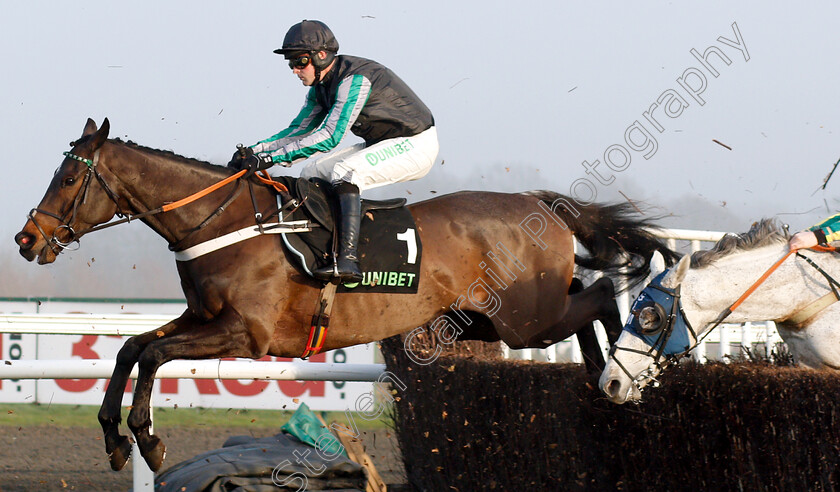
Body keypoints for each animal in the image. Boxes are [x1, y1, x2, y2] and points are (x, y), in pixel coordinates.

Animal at [16, 117, 680, 470]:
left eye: (69, 177)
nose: (27, 240)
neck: (223, 221)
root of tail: (541, 204)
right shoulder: (201, 317)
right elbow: (131, 347)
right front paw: (115, 439)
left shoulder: (248, 334)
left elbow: (151, 353)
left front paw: (147, 440)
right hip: (488, 320)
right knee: (585, 302)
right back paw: (601, 375)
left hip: (523, 318)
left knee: (599, 294)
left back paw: (622, 373)